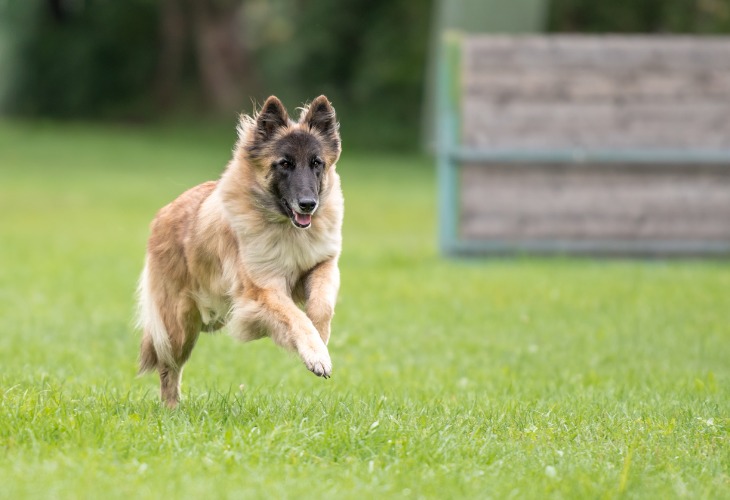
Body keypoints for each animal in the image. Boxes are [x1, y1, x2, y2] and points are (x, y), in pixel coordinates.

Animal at [136, 95, 342, 408]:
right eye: (285, 164)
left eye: (316, 163)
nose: (308, 204)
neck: (286, 228)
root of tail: (164, 213)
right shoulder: (263, 290)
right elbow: (295, 317)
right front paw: (316, 354)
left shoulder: (322, 263)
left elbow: (320, 306)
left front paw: (321, 339)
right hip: (179, 326)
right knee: (168, 368)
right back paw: (171, 409)